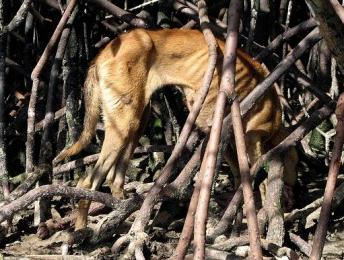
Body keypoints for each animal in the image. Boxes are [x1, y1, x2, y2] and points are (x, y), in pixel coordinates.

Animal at [55, 28, 294, 230]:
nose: (291, 200)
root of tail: (101, 54)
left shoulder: (219, 131)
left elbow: (238, 177)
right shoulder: (246, 138)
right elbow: (257, 181)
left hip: (138, 121)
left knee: (115, 178)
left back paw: (122, 213)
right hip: (124, 123)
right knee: (87, 181)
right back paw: (82, 230)